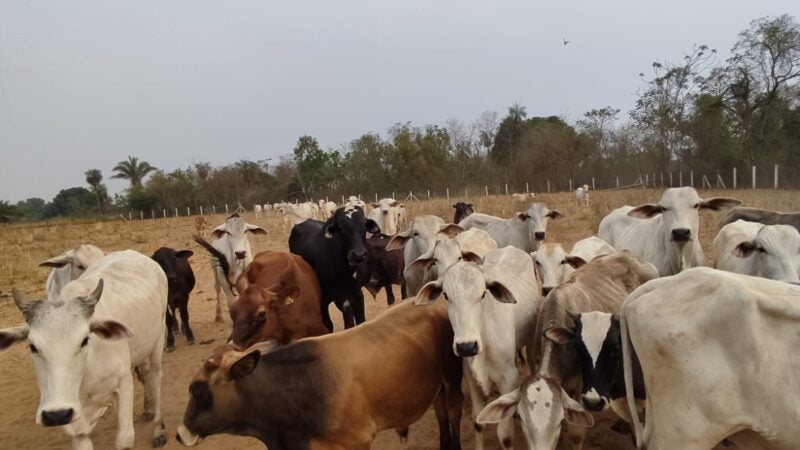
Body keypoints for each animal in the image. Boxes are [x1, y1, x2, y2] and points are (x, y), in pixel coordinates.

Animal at [0, 250, 168, 449]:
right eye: (32, 346)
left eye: (84, 340)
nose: (56, 415)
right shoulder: (75, 424)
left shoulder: (124, 385)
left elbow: (124, 438)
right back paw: (148, 409)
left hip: (158, 339)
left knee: (154, 376)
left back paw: (158, 428)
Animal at [176, 300, 463, 450]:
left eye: (197, 391)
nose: (179, 434)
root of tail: (434, 305)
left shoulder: (358, 441)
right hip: (436, 387)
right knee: (441, 412)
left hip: (452, 381)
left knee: (454, 413)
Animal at [416, 246, 540, 449]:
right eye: (446, 295)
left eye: (483, 294)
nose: (467, 346)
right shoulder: (471, 377)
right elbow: (478, 422)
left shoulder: (508, 376)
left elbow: (505, 435)